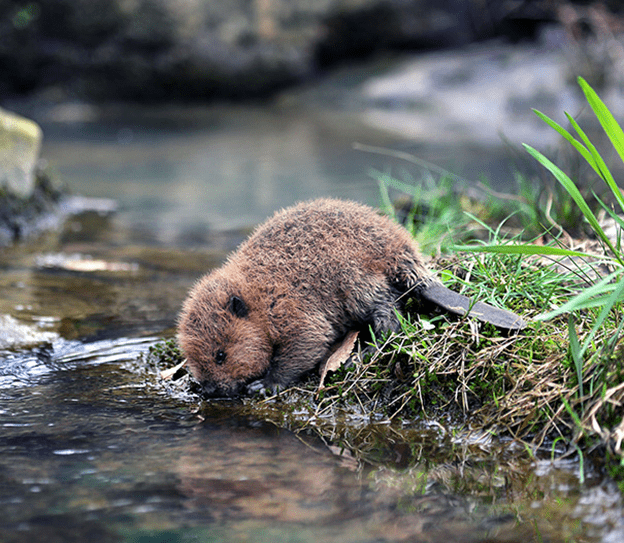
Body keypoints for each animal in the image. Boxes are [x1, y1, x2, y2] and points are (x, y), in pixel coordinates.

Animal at [178, 198, 524, 398]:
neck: (259, 293)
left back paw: (364, 353)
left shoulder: (291, 307)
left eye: (220, 355)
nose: (209, 391)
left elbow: (308, 342)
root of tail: (410, 259)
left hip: (355, 281)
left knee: (389, 315)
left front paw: (264, 385)